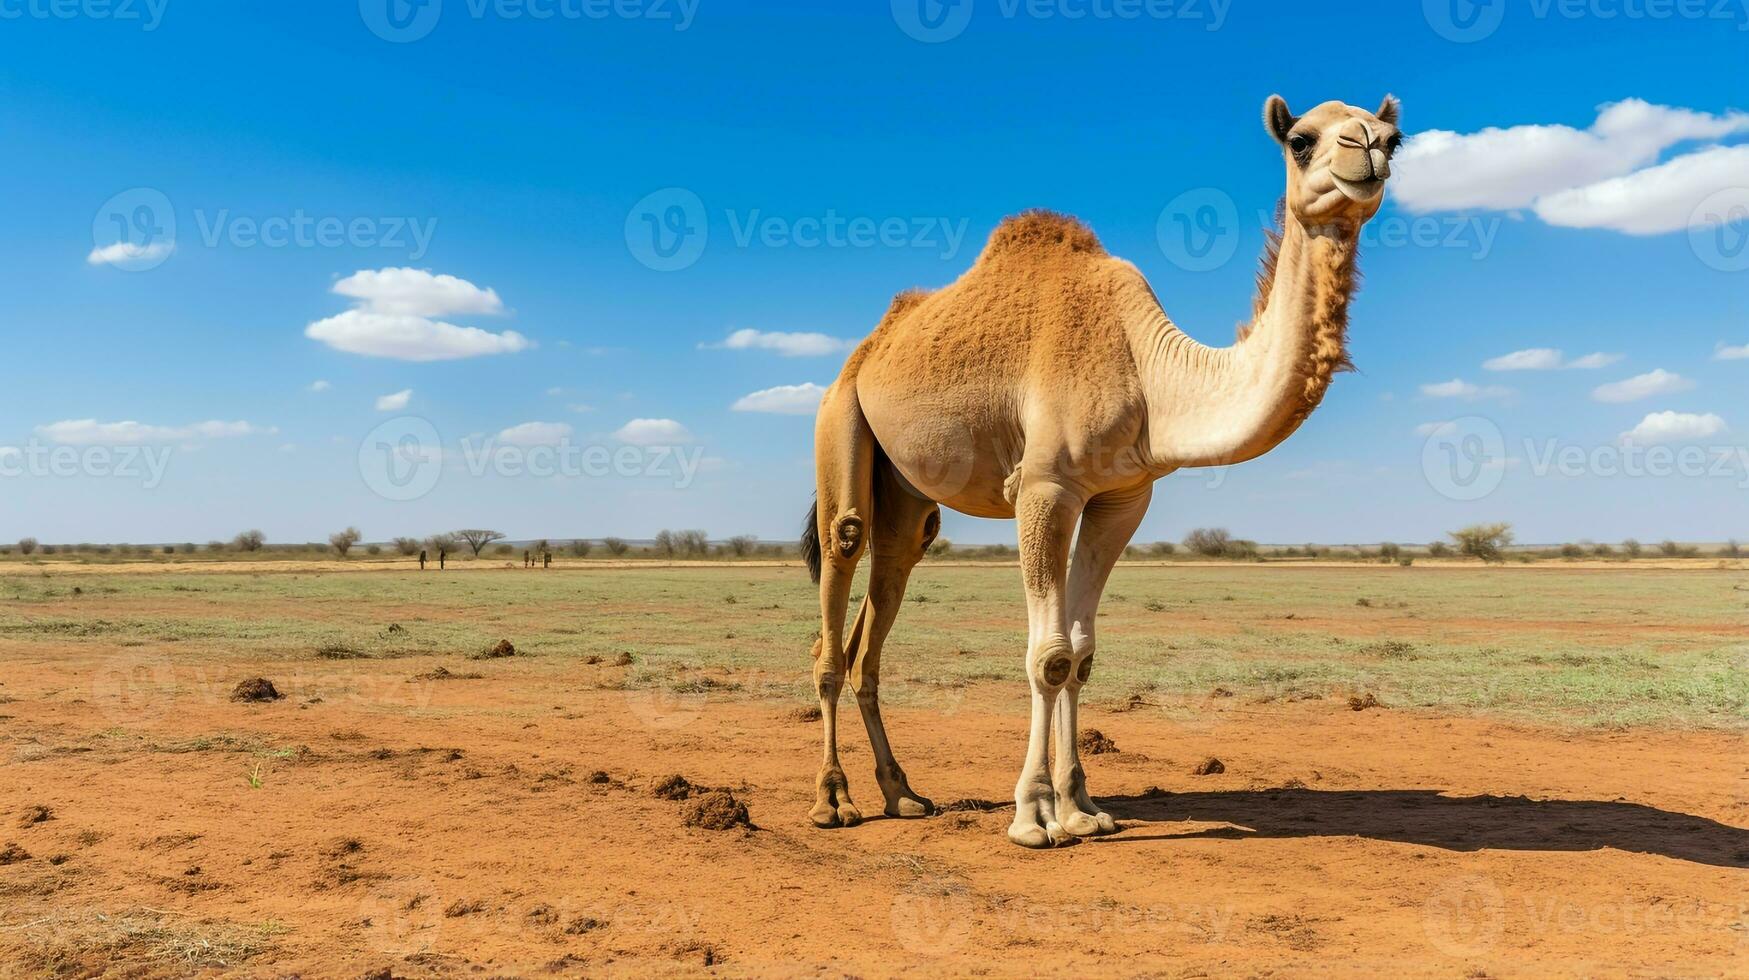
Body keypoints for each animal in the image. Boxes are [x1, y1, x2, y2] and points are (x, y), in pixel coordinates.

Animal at [801, 93, 1399, 843]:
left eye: (1395, 138)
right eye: (1300, 140)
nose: (1366, 147)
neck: (1149, 372)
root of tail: (867, 349)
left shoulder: (1122, 496)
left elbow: (1080, 654)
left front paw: (1082, 808)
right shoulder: (1044, 486)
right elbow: (1048, 654)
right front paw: (1033, 817)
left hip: (906, 492)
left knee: (884, 595)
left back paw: (903, 792)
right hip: (840, 420)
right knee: (842, 562)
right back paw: (833, 800)